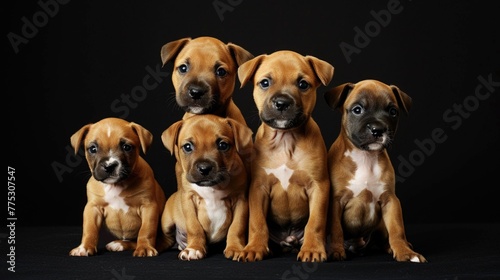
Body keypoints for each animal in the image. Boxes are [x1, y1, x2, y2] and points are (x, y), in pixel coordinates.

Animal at [69, 117, 166, 258]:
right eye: (92, 149)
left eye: (127, 147)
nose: (109, 166)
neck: (115, 185)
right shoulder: (93, 208)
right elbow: (90, 229)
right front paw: (85, 247)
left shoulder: (148, 207)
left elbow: (146, 230)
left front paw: (144, 247)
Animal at [160, 114, 252, 260]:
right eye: (187, 147)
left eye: (223, 145)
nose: (204, 168)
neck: (213, 188)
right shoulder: (188, 200)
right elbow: (194, 227)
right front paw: (194, 248)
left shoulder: (241, 201)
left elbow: (237, 227)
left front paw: (235, 248)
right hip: (166, 224)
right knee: (166, 239)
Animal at [235, 50, 336, 262]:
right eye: (265, 82)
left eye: (303, 84)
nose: (282, 102)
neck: (285, 140)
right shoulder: (258, 188)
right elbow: (257, 221)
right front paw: (254, 248)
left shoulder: (319, 186)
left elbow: (315, 222)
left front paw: (313, 249)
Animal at [326, 79, 428, 262]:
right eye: (357, 110)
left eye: (393, 111)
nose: (378, 129)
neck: (365, 157)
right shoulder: (336, 202)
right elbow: (336, 229)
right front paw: (336, 251)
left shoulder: (390, 201)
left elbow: (397, 230)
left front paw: (405, 252)